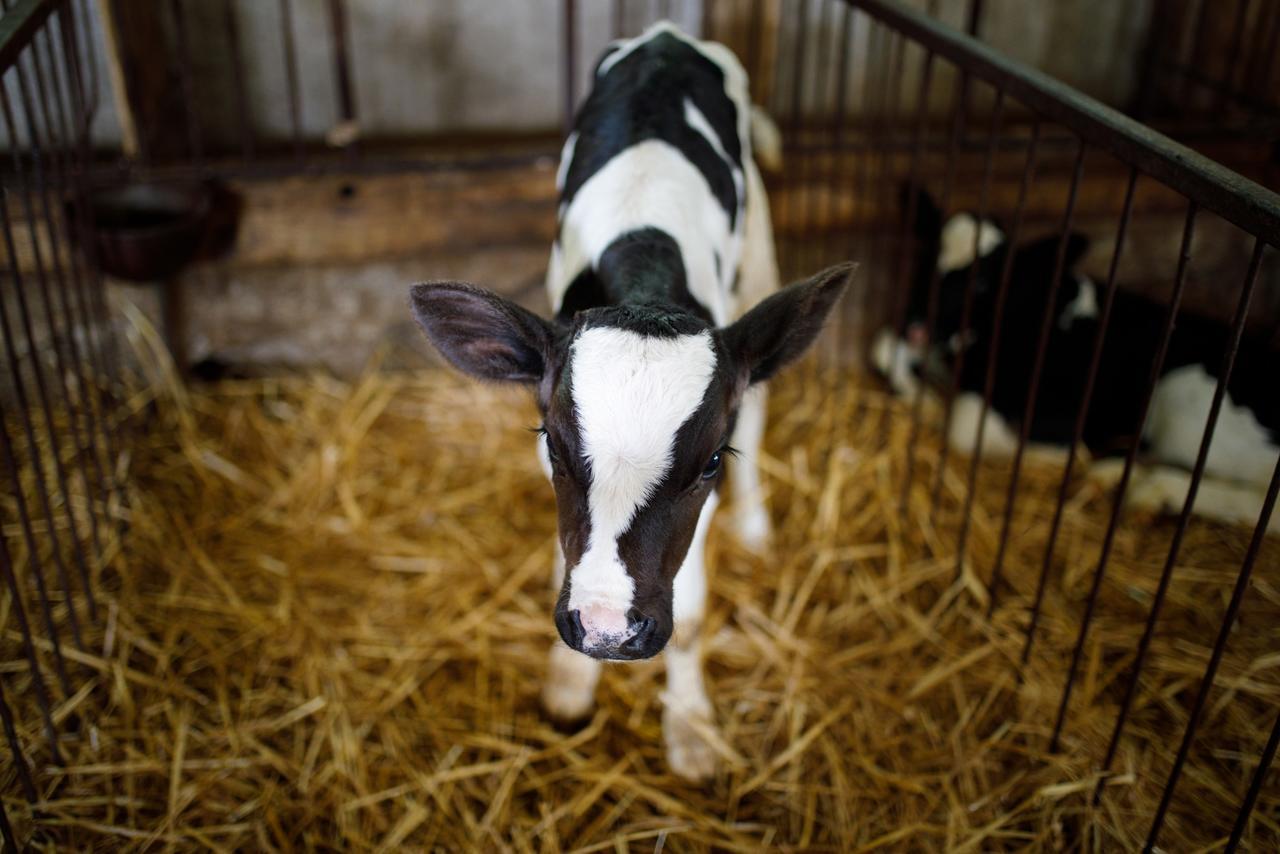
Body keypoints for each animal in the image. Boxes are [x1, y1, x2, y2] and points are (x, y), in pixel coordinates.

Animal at [409, 20, 849, 783]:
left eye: (711, 463)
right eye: (552, 445)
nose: (608, 630)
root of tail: (668, 34)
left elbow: (694, 615)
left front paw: (692, 730)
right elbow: (563, 562)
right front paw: (567, 681)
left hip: (761, 253)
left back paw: (756, 526)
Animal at [875, 190, 1280, 530]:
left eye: (983, 284)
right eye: (928, 260)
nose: (916, 325)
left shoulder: (1057, 410)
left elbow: (962, 425)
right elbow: (883, 349)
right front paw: (925, 398)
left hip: (1184, 400)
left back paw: (1158, 491)